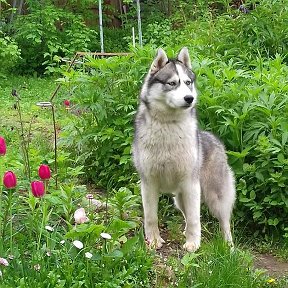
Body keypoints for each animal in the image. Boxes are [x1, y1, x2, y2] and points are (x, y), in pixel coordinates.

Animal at [133, 47, 236, 252]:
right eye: (172, 83)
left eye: (188, 83)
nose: (190, 98)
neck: (168, 126)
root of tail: (214, 139)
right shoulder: (148, 183)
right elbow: (151, 216)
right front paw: (153, 240)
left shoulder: (191, 184)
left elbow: (196, 219)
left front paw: (194, 244)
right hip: (179, 199)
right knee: (187, 215)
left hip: (215, 197)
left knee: (224, 222)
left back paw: (228, 246)